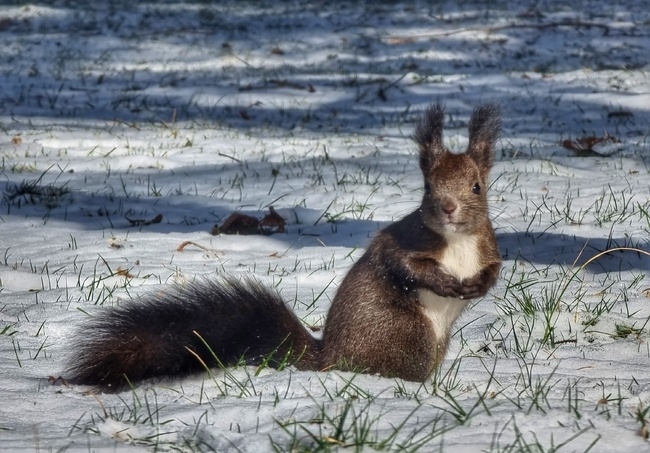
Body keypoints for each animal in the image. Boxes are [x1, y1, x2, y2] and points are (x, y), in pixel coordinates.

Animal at [67, 103, 502, 392]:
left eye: (477, 186)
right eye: (428, 187)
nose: (448, 207)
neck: (457, 240)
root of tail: (328, 360)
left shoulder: (488, 248)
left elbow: (494, 271)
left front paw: (478, 286)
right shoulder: (404, 241)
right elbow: (402, 265)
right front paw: (445, 283)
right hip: (408, 334)